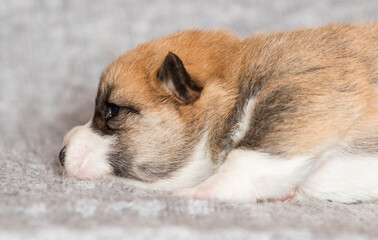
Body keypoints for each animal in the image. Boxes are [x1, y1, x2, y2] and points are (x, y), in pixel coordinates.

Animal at [59, 22, 378, 203]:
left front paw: (199, 192)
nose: (60, 155)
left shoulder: (299, 96)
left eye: (112, 111)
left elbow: (249, 157)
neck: (234, 87)